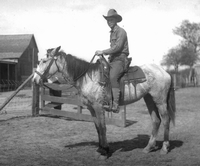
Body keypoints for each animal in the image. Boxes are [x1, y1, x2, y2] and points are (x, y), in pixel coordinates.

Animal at [32, 46, 175, 159]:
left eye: (44, 61)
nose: (35, 79)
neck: (87, 77)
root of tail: (164, 72)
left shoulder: (98, 107)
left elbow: (102, 128)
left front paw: (105, 151)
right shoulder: (91, 109)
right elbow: (97, 128)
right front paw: (100, 149)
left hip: (160, 100)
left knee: (165, 119)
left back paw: (164, 148)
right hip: (149, 99)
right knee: (156, 120)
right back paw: (148, 147)